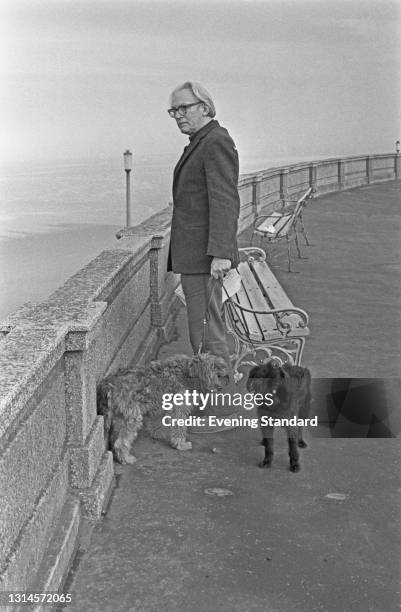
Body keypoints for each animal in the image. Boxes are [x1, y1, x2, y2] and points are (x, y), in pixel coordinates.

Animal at [97, 354, 228, 464]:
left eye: (220, 375)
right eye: (214, 374)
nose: (220, 387)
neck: (186, 373)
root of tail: (108, 384)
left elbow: (158, 422)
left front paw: (157, 434)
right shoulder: (178, 410)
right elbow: (178, 428)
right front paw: (180, 444)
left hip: (120, 417)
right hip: (131, 418)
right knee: (120, 441)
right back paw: (126, 459)